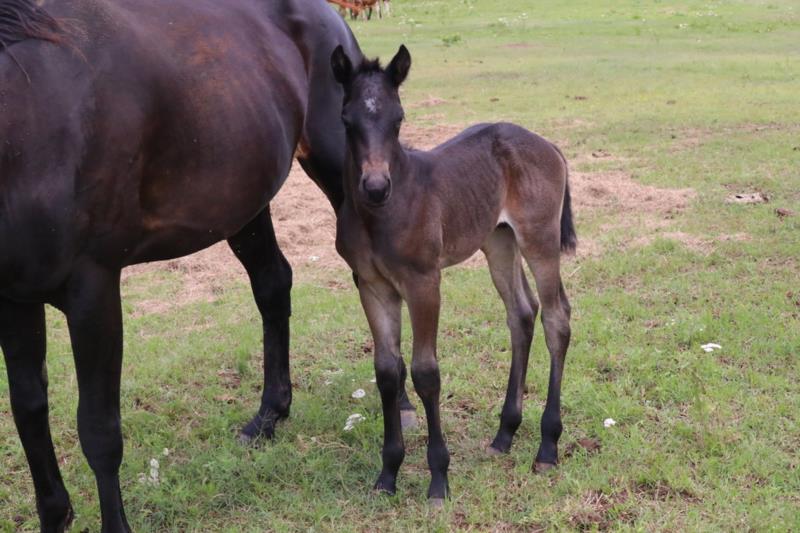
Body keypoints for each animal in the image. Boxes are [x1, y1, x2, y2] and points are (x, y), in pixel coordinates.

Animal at [0, 0, 407, 530]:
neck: (37, 106)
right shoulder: (13, 297)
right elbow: (29, 410)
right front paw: (54, 514)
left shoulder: (93, 289)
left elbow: (98, 430)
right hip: (244, 199)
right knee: (273, 285)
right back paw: (269, 416)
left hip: (348, 180)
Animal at [330, 45, 576, 504]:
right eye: (347, 121)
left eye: (399, 118)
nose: (375, 186)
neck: (383, 213)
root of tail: (548, 144)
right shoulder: (373, 286)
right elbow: (387, 372)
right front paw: (388, 473)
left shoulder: (424, 282)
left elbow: (426, 372)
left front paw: (438, 478)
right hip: (498, 240)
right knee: (521, 312)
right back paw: (505, 433)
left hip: (539, 238)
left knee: (556, 317)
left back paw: (547, 446)